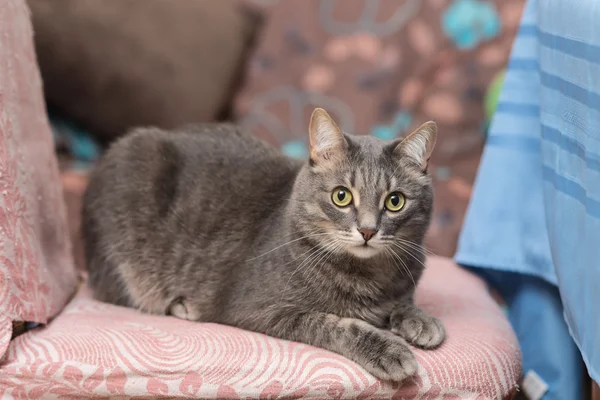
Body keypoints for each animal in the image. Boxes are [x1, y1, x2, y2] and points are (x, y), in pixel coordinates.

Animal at [82, 108, 442, 382]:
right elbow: (334, 324)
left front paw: (421, 320)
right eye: (341, 196)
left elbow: (403, 303)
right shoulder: (262, 309)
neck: (369, 276)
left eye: (395, 201)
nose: (367, 230)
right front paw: (388, 350)